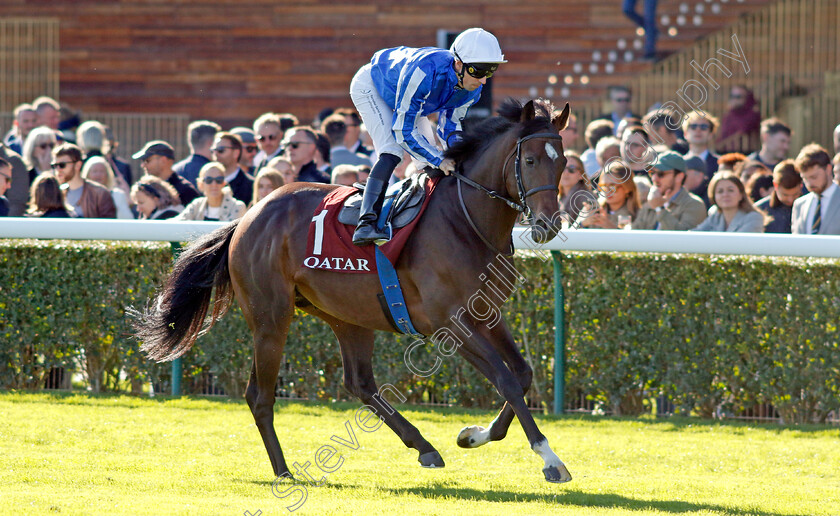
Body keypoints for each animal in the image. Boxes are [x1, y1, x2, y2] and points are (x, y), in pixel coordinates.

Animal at [131, 100, 576, 484]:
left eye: (564, 163)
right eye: (530, 160)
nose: (548, 225)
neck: (465, 221)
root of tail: (249, 216)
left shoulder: (487, 315)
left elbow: (522, 374)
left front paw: (474, 434)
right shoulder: (450, 323)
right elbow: (505, 379)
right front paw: (550, 459)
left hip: (348, 315)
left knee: (359, 382)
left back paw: (424, 447)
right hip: (271, 316)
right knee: (259, 394)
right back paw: (284, 471)